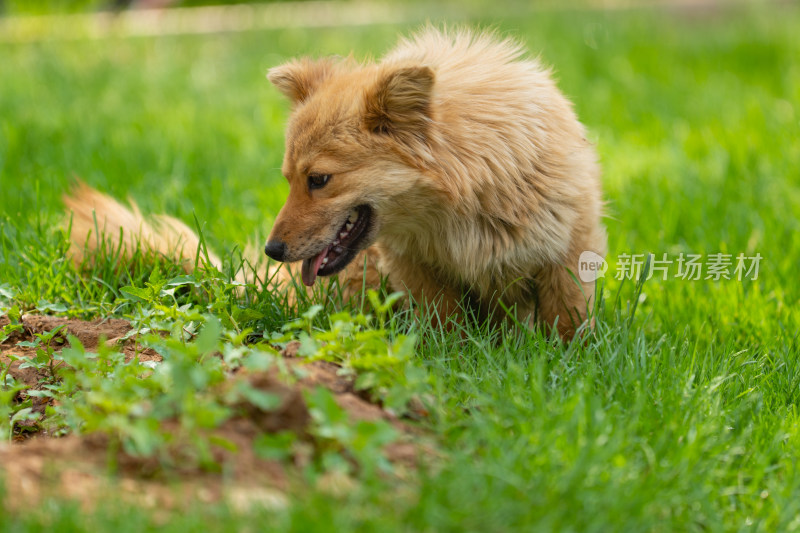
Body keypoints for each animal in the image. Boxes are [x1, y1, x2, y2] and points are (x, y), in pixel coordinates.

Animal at [65, 27, 608, 338]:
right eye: (288, 179)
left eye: (319, 180)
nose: (274, 250)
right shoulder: (415, 269)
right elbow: (446, 322)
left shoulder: (567, 253)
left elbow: (566, 323)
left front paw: (566, 362)